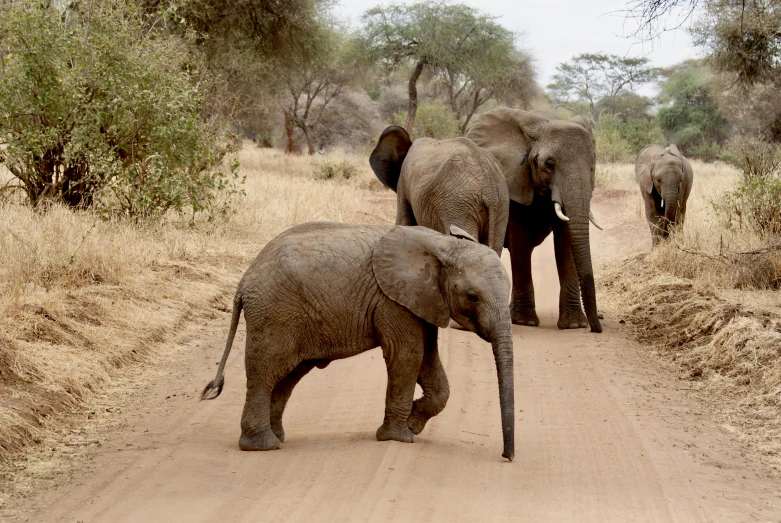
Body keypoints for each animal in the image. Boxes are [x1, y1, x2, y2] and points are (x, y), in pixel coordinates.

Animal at [201, 221, 516, 462]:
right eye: (473, 297)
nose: (507, 456)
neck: (444, 244)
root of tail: (243, 280)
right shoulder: (392, 301)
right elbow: (408, 355)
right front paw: (399, 437)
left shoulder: (421, 300)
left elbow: (427, 358)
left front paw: (413, 424)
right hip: (274, 314)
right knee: (265, 374)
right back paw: (262, 446)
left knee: (287, 378)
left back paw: (277, 437)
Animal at [466, 108, 608, 334]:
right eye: (549, 165)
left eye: (592, 168)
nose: (596, 328)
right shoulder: (515, 179)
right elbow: (520, 240)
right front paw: (525, 322)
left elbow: (566, 241)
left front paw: (574, 325)